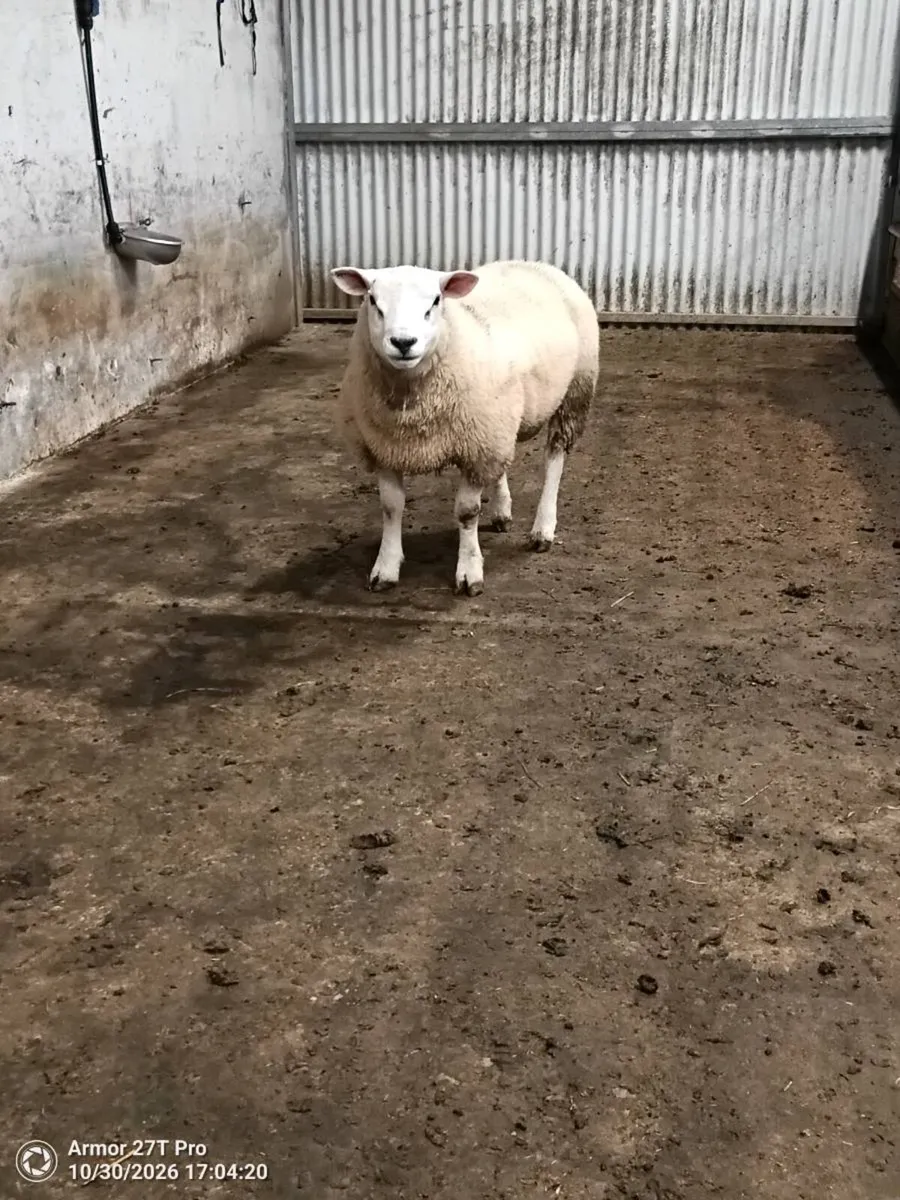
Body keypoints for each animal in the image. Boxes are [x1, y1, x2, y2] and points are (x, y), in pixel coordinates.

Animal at [330, 259, 599, 596]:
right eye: (373, 301)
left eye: (435, 301)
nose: (403, 342)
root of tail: (531, 263)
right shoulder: (384, 448)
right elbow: (391, 507)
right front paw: (386, 567)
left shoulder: (476, 446)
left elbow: (467, 513)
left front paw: (469, 572)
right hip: (499, 422)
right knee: (501, 465)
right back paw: (501, 512)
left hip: (573, 392)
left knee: (555, 459)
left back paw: (542, 528)